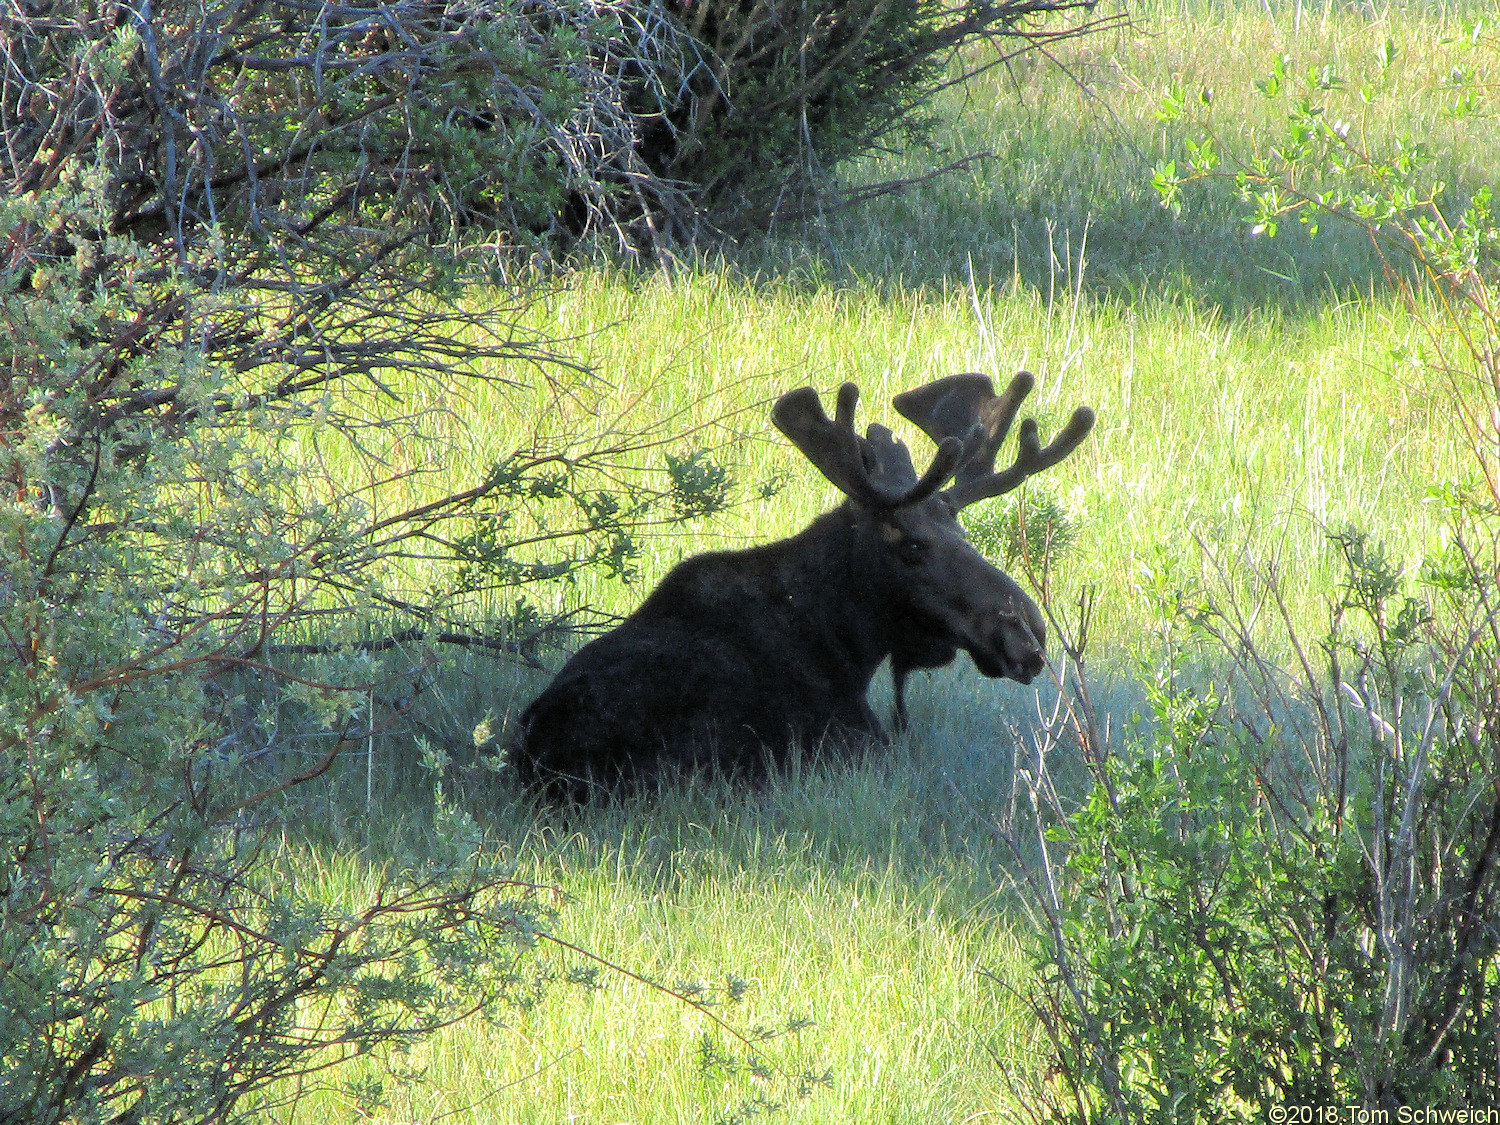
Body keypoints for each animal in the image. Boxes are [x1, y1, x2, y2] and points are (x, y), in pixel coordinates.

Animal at [513, 375, 1092, 798]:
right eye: (909, 545)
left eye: (964, 534)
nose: (1027, 632)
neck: (849, 642)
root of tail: (539, 761)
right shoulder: (859, 743)